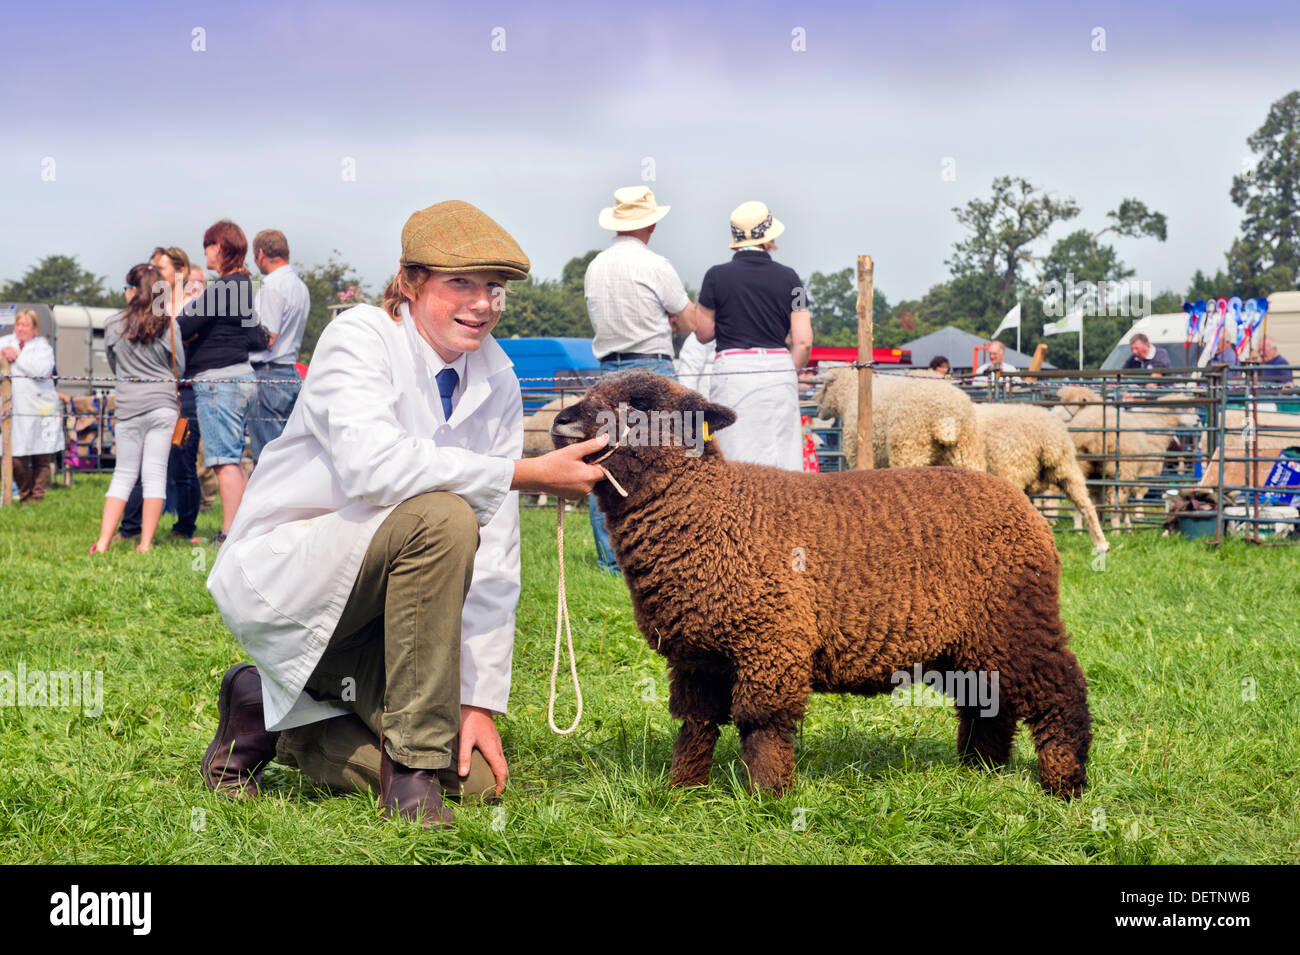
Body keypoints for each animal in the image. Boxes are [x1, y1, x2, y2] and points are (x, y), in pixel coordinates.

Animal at [548, 371, 1086, 800]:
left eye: (640, 407)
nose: (563, 421)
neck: (714, 511)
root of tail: (1023, 505)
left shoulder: (770, 638)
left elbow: (762, 723)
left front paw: (766, 799)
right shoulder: (697, 654)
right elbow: (695, 724)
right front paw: (683, 791)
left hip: (1017, 617)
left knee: (1060, 690)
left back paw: (1065, 785)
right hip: (972, 638)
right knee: (986, 700)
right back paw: (980, 772)